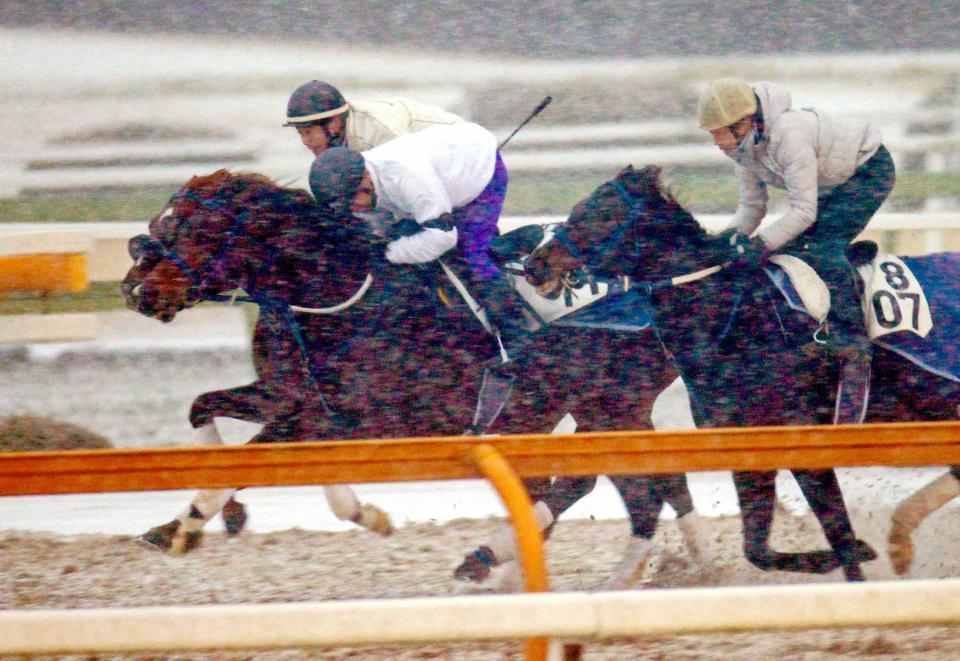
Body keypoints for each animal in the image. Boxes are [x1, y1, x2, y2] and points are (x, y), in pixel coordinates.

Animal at [124, 168, 700, 584]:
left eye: (195, 230)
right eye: (158, 222)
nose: (136, 290)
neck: (334, 293)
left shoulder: (352, 419)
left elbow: (255, 458)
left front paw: (187, 526)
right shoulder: (291, 397)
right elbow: (202, 407)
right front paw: (197, 521)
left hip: (610, 401)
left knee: (621, 484)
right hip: (585, 406)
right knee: (627, 479)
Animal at [524, 165, 960, 584]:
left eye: (601, 212)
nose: (534, 264)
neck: (737, 317)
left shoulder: (807, 447)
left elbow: (840, 538)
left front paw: (860, 557)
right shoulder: (748, 452)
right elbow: (759, 550)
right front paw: (854, 553)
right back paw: (899, 538)